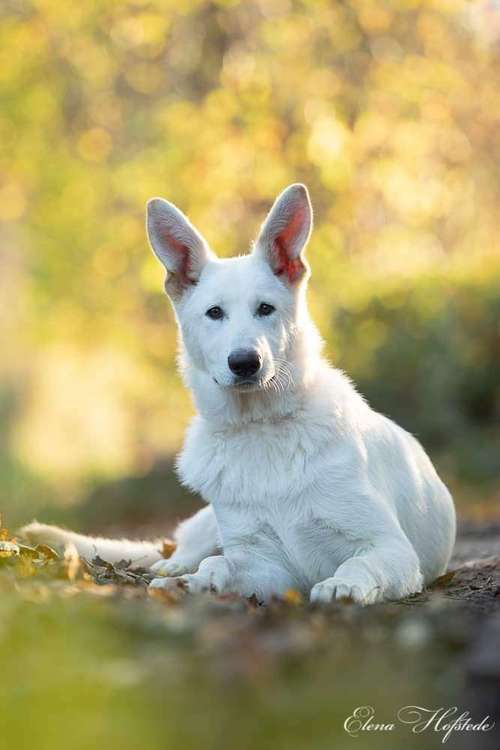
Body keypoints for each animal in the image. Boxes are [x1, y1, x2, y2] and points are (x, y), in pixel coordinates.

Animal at [20, 185, 458, 608]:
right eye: (215, 313)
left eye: (266, 308)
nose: (245, 363)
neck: (259, 426)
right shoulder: (266, 563)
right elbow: (222, 564)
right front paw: (195, 582)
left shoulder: (389, 547)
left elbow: (358, 565)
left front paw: (342, 586)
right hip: (209, 522)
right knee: (186, 549)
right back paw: (173, 568)